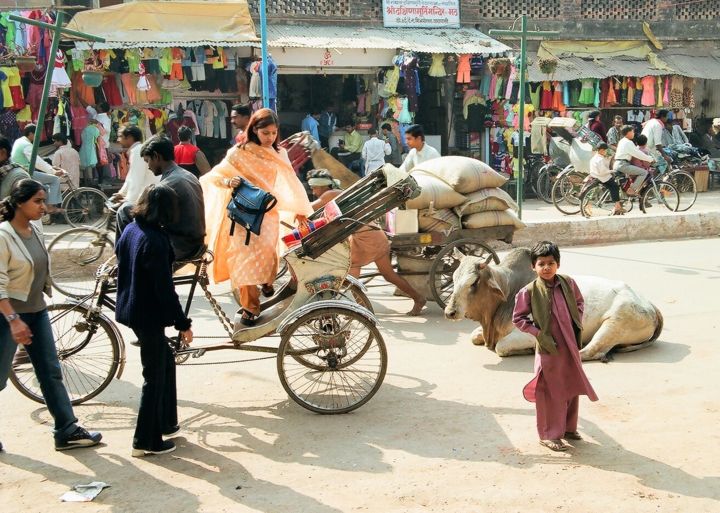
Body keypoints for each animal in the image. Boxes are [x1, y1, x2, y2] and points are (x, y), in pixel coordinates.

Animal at [444, 248, 664, 360]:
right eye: (453, 278)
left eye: (473, 282)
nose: (450, 312)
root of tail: (651, 306)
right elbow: (474, 336)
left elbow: (501, 346)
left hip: (616, 321)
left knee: (592, 351)